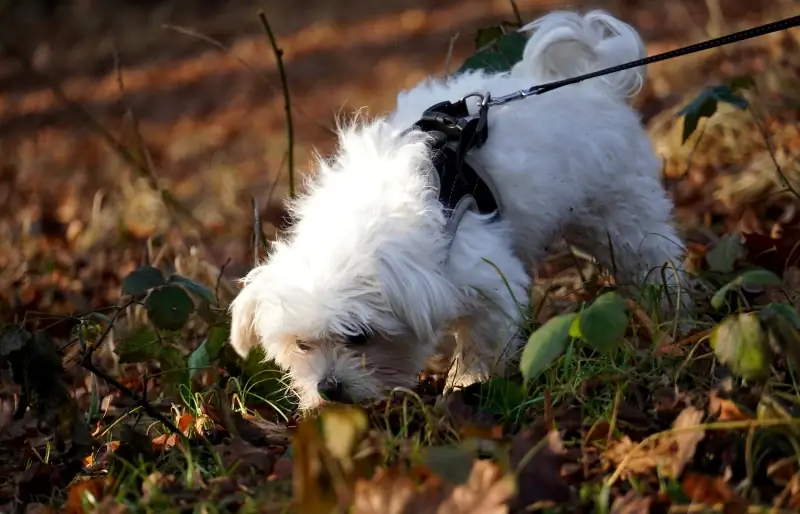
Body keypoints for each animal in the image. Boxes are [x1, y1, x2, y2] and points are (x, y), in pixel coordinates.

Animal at [230, 11, 688, 408]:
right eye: (302, 344)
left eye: (358, 336)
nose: (328, 389)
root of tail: (586, 82)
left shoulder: (484, 279)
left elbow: (483, 342)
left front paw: (467, 383)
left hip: (621, 209)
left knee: (653, 255)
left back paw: (672, 310)